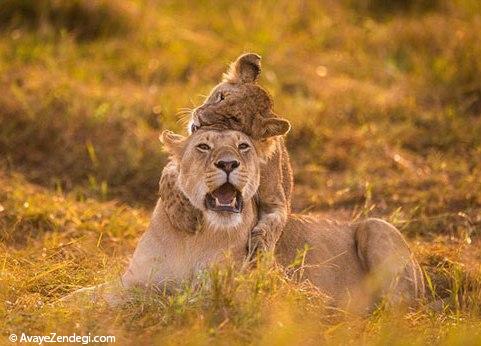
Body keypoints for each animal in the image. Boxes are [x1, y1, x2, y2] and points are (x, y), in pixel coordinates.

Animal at [68, 128, 424, 312]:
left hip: (376, 227)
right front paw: (63, 304)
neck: (193, 236)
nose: (228, 164)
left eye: (243, 146)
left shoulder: (216, 289)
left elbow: (157, 296)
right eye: (203, 146)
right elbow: (89, 293)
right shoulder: (132, 277)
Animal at [159, 52, 290, 260]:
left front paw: (259, 252)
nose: (200, 119)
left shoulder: (276, 200)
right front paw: (183, 216)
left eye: (233, 119)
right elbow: (170, 175)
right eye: (221, 97)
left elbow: (272, 226)